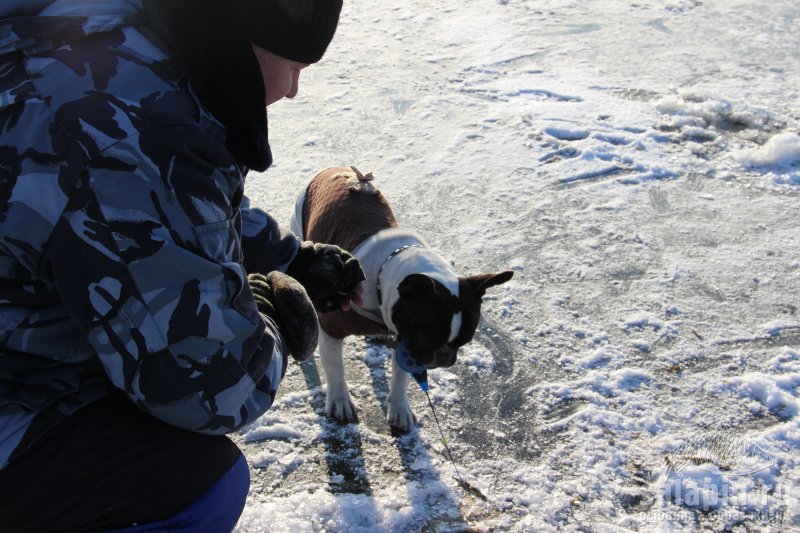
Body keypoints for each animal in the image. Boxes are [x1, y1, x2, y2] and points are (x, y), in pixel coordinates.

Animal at [290, 167, 512, 432]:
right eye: (427, 338)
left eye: (465, 341)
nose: (445, 358)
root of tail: (336, 169)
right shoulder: (333, 329)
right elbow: (335, 370)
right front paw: (340, 400)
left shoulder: (405, 338)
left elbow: (401, 376)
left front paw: (399, 408)